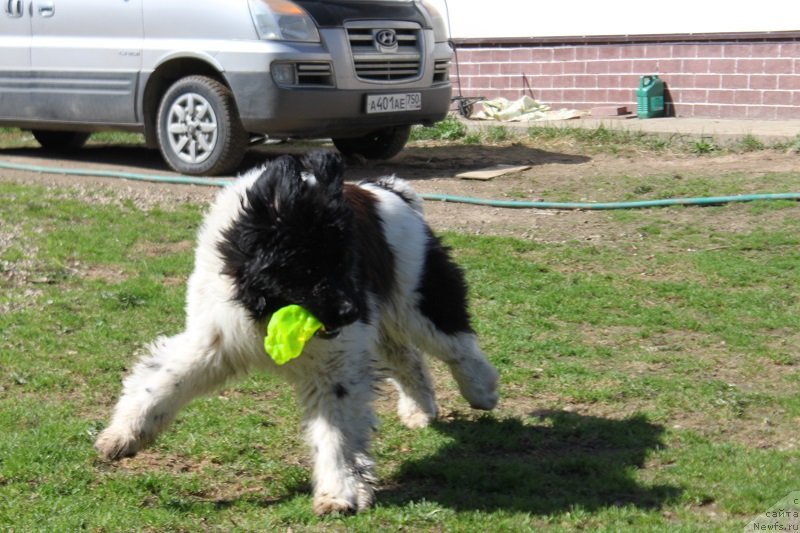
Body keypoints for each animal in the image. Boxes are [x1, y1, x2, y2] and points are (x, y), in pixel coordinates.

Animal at [95, 152, 500, 512]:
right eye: (308, 266)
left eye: (346, 259)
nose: (350, 311)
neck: (262, 301)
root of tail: (386, 189)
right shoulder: (213, 341)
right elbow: (162, 382)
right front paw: (123, 435)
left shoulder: (336, 364)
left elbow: (335, 432)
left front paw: (339, 492)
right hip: (385, 321)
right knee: (408, 358)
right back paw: (420, 410)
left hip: (415, 298)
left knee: (456, 344)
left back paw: (481, 391)